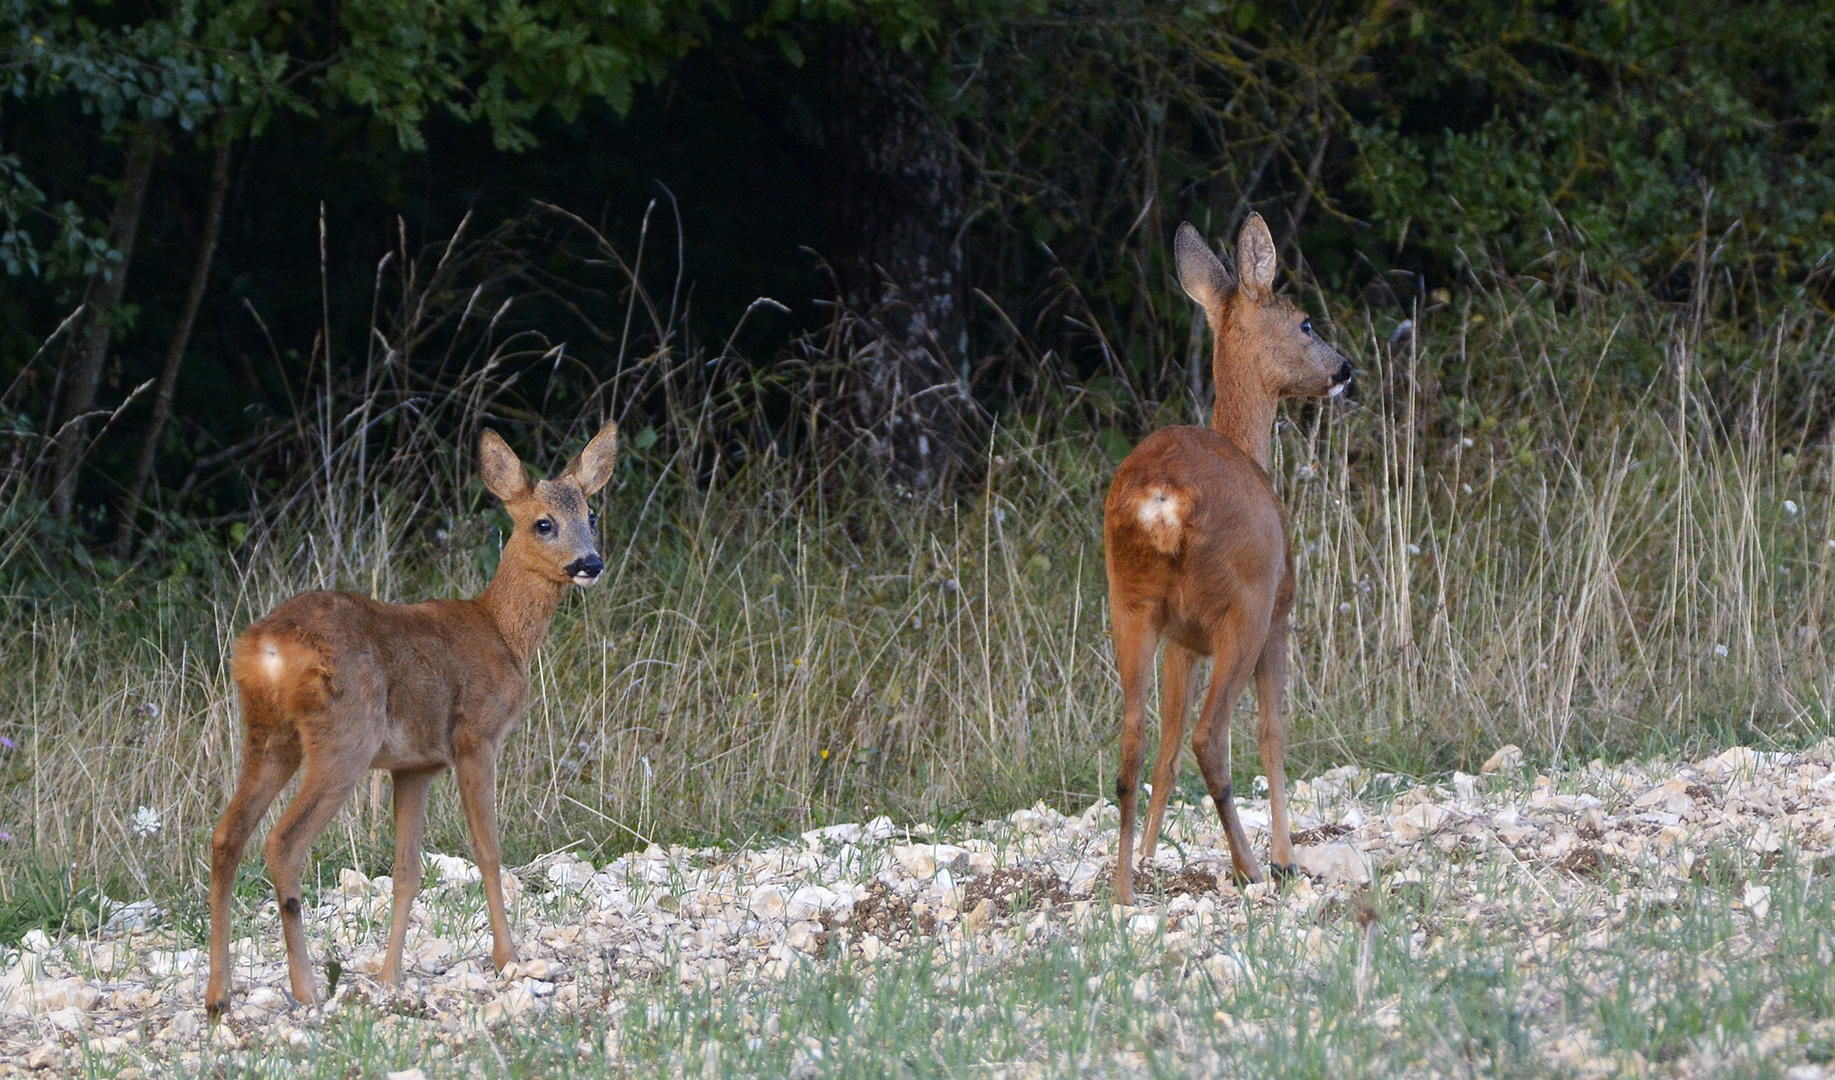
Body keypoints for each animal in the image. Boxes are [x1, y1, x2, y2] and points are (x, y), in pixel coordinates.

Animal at [201, 416, 616, 1012]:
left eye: (591, 515)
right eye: (544, 523)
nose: (590, 564)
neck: (502, 633)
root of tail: (265, 650)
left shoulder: (413, 766)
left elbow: (406, 872)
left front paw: (390, 976)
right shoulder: (475, 737)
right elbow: (488, 850)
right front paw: (507, 957)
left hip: (268, 735)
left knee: (225, 836)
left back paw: (218, 995)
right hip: (344, 737)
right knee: (282, 843)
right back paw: (306, 988)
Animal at [1101, 212, 1350, 902]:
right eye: (1305, 323)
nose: (1344, 369)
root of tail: (1163, 500)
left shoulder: (1183, 641)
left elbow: (1165, 746)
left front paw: (1150, 853)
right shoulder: (1279, 615)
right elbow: (1272, 734)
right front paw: (1286, 854)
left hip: (1131, 604)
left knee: (1136, 738)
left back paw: (1123, 889)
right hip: (1244, 602)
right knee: (1211, 738)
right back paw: (1252, 868)